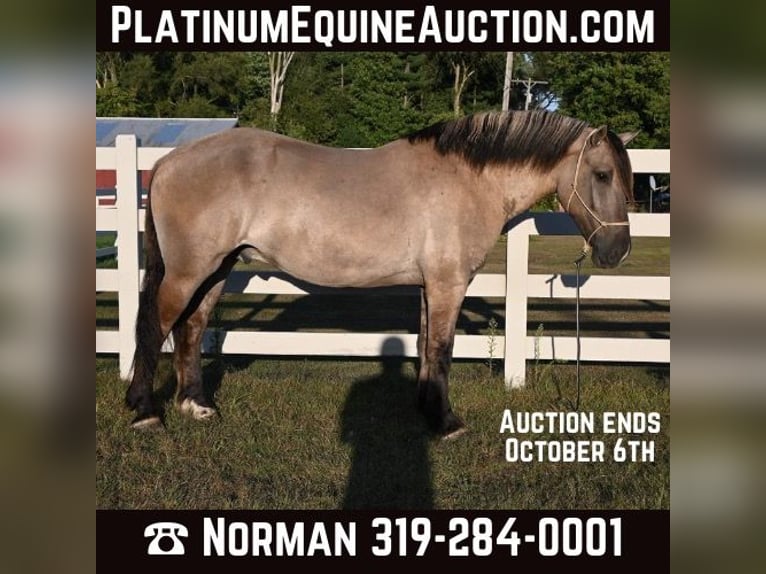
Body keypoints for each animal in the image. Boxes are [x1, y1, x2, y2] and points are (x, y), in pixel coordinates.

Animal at [125, 110, 636, 437]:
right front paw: (447, 424)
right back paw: (145, 412)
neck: (467, 180)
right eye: (603, 175)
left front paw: (426, 411)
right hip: (189, 272)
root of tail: (168, 161)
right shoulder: (449, 283)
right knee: (155, 326)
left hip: (217, 270)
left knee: (191, 328)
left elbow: (428, 347)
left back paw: (197, 406)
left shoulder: (431, 285)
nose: (617, 251)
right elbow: (442, 350)